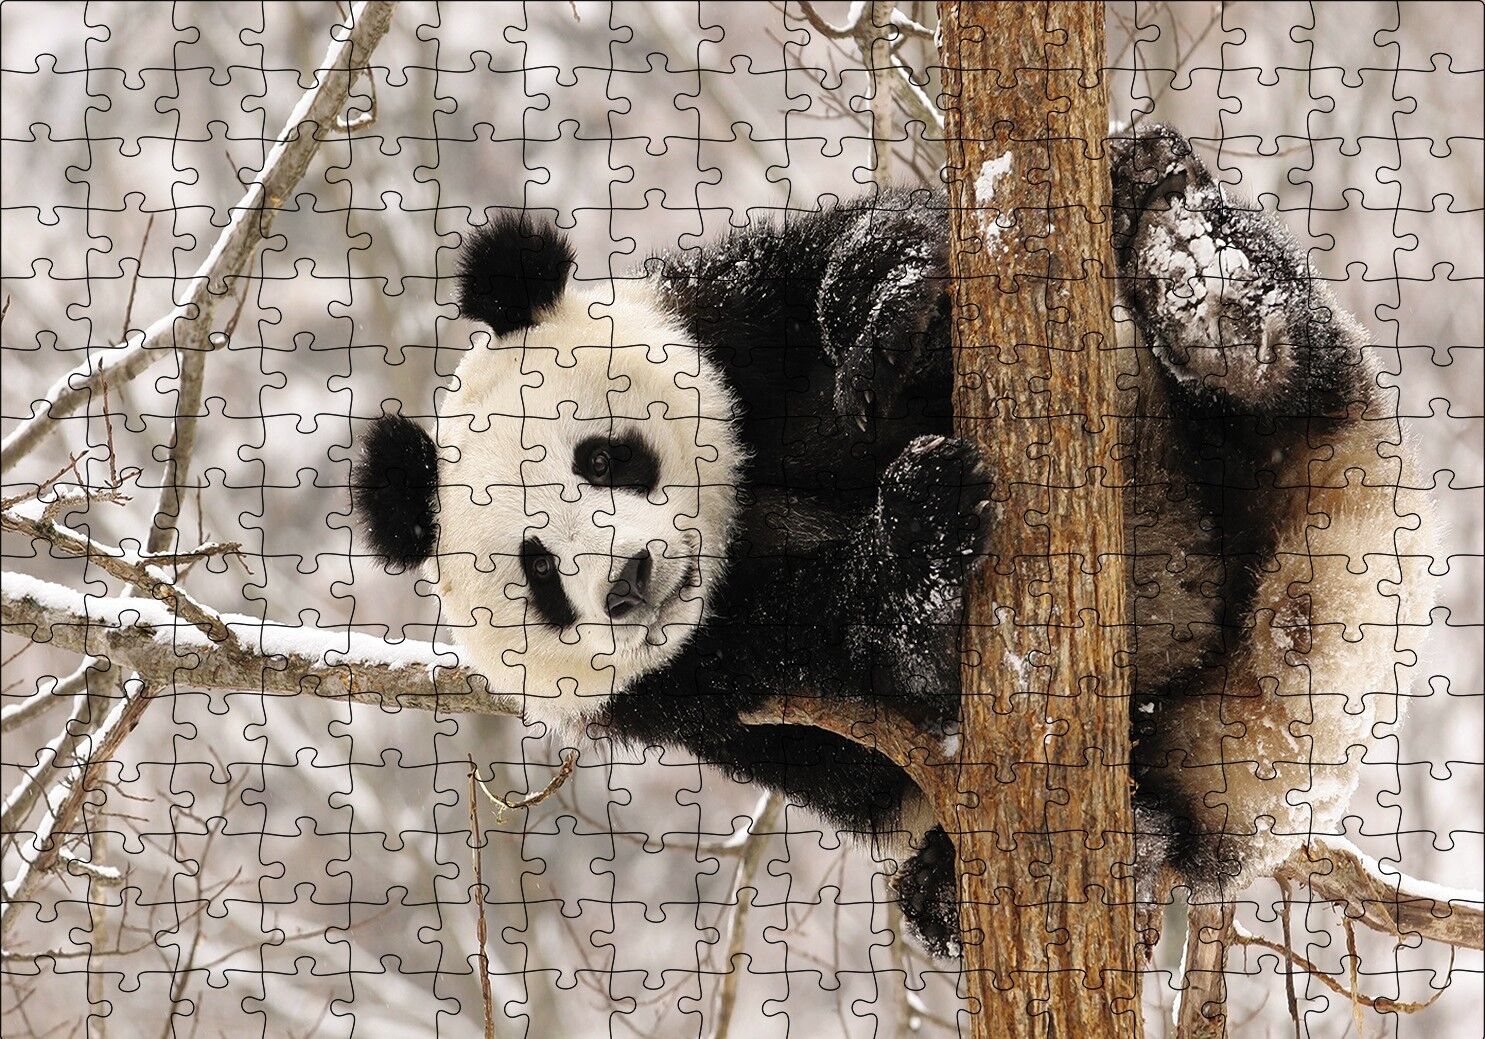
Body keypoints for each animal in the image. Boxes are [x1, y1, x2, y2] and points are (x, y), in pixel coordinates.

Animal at [352, 126, 1431, 957]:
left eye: (604, 458)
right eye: (538, 571)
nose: (629, 580)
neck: (740, 521)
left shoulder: (730, 324)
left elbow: (856, 263)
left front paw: (887, 307)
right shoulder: (690, 689)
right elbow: (853, 697)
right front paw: (920, 523)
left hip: (1288, 457)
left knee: (1284, 374)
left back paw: (1192, 265)